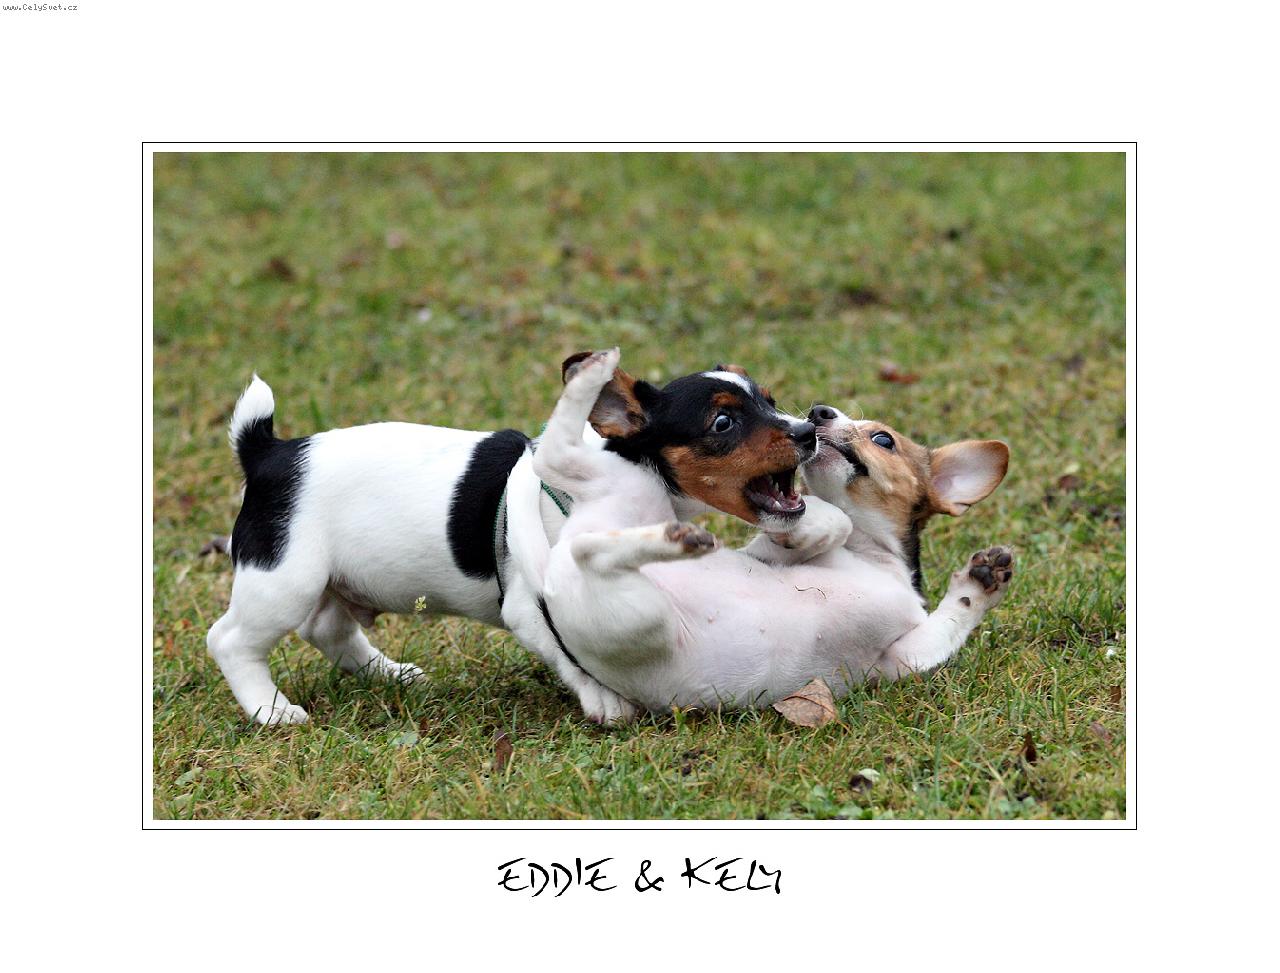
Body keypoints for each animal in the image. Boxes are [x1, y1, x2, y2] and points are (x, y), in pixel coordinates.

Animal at [206, 361, 817, 724]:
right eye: (723, 424)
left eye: (770, 400)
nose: (809, 431)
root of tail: (270, 454)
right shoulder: (529, 603)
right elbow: (568, 655)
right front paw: (602, 698)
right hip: (284, 578)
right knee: (230, 640)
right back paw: (270, 710)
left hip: (333, 580)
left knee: (328, 628)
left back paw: (390, 673)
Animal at [506, 348, 1013, 712]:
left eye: (883, 439)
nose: (818, 414)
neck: (868, 554)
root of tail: (549, 574)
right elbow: (830, 522)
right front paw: (811, 530)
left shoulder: (905, 657)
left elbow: (955, 616)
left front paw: (982, 580)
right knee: (559, 466)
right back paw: (593, 375)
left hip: (633, 605)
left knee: (586, 537)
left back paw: (674, 538)